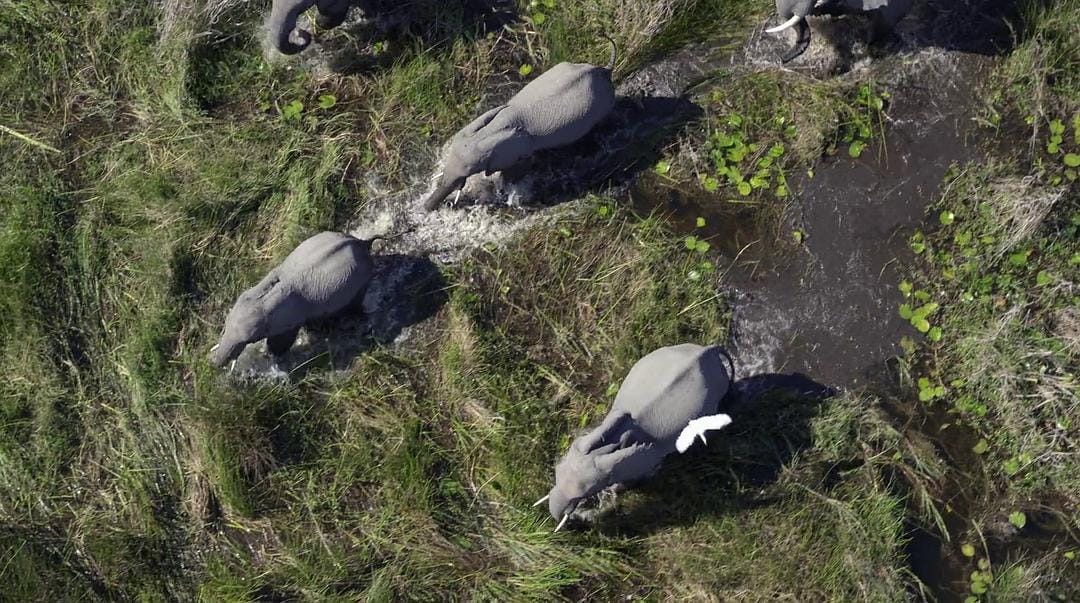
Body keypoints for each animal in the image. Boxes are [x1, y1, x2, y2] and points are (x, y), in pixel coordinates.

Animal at [208, 231, 376, 368]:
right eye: (224, 326)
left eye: (249, 340)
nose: (213, 364)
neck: (266, 299)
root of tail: (363, 242)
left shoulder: (290, 321)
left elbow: (281, 343)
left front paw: (269, 357)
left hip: (360, 282)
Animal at [421, 37, 618, 211]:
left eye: (468, 172)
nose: (426, 208)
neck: (488, 132)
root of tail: (604, 70)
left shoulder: (519, 151)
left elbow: (516, 170)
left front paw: (505, 193)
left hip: (603, 105)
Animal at [533, 344, 735, 531]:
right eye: (557, 471)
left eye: (585, 494)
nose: (574, 522)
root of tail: (708, 349)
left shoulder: (644, 459)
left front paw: (617, 490)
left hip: (714, 395)